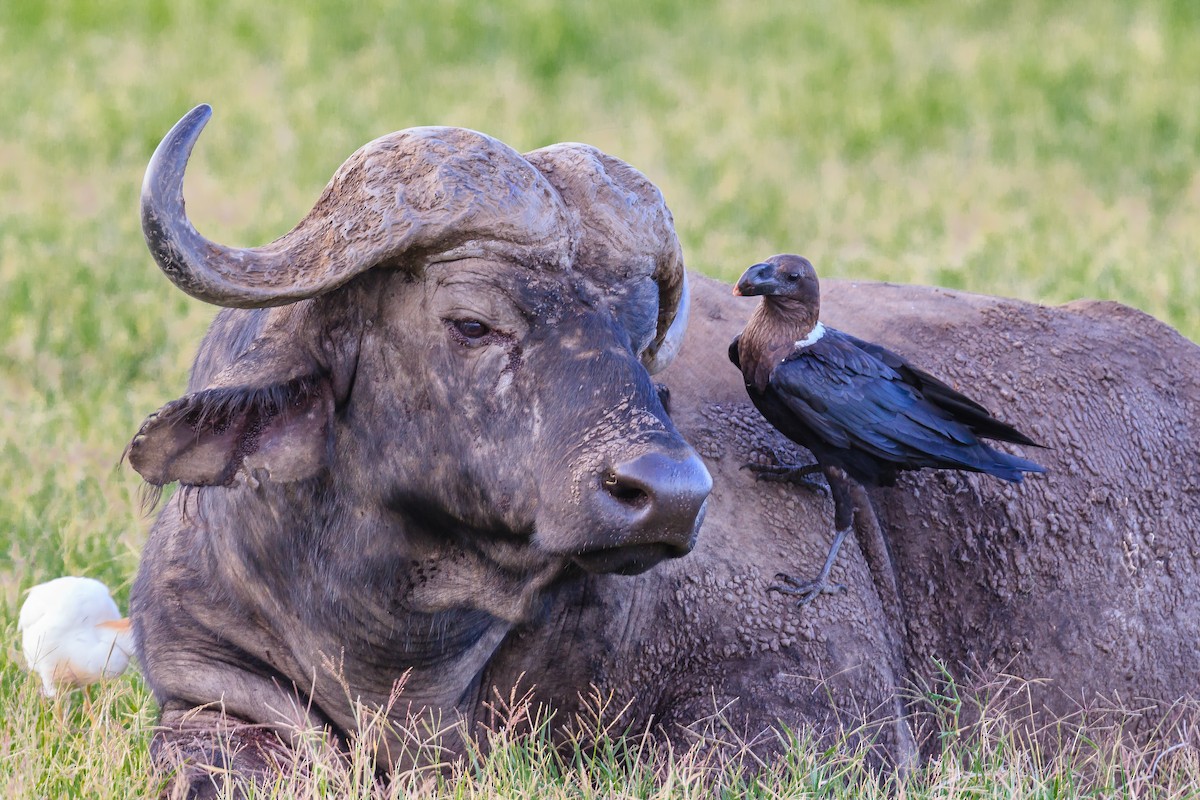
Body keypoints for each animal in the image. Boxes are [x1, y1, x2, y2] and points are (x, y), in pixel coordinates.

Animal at [126, 109, 1195, 796]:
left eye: (639, 330)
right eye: (471, 322)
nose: (671, 495)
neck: (401, 647)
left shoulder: (820, 716)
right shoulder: (205, 684)